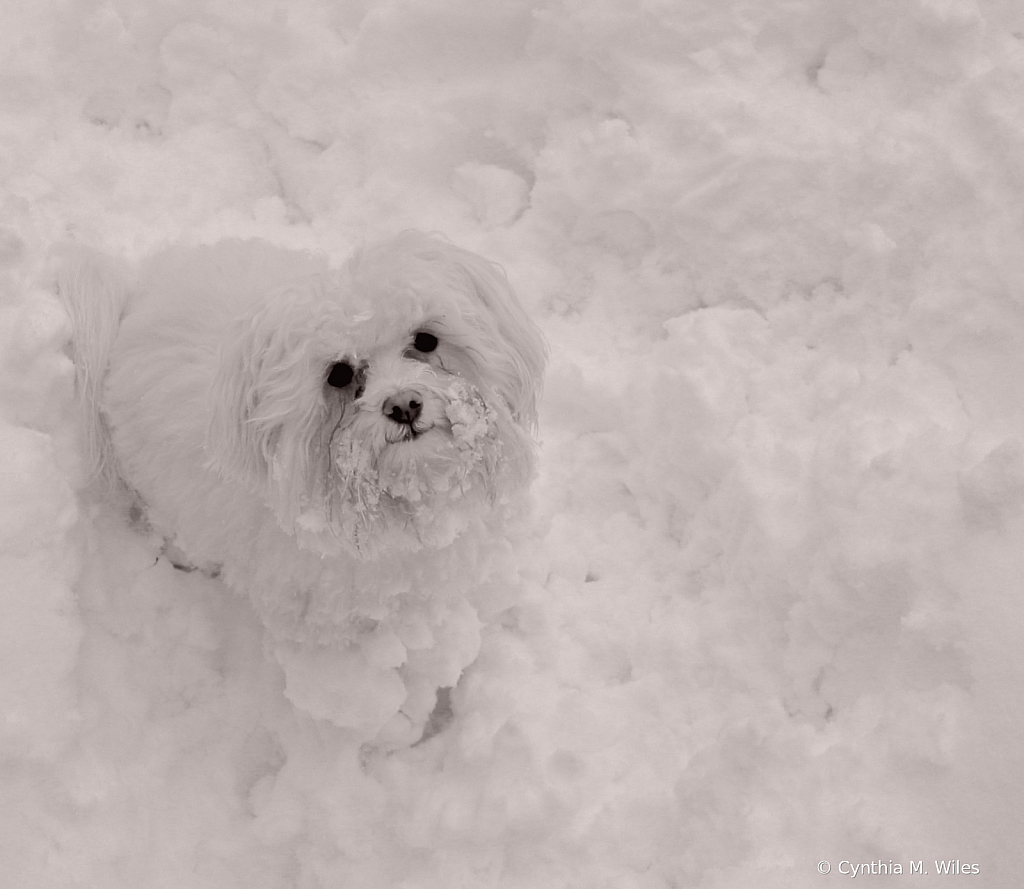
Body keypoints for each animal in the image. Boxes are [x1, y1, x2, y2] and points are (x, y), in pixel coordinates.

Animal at [59, 232, 548, 745]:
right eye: (339, 374)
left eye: (426, 340)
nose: (404, 404)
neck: (404, 500)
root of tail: (134, 295)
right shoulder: (324, 623)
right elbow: (354, 692)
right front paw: (392, 726)